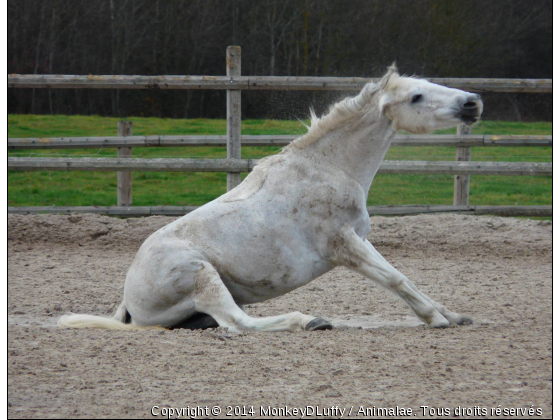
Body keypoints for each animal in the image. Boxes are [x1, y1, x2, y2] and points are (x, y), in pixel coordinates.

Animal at [60, 66, 482, 332]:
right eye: (416, 96)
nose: (473, 102)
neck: (328, 169)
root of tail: (128, 299)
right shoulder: (344, 246)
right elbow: (396, 278)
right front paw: (435, 319)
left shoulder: (359, 239)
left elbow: (402, 276)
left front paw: (453, 314)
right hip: (201, 275)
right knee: (236, 324)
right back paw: (308, 321)